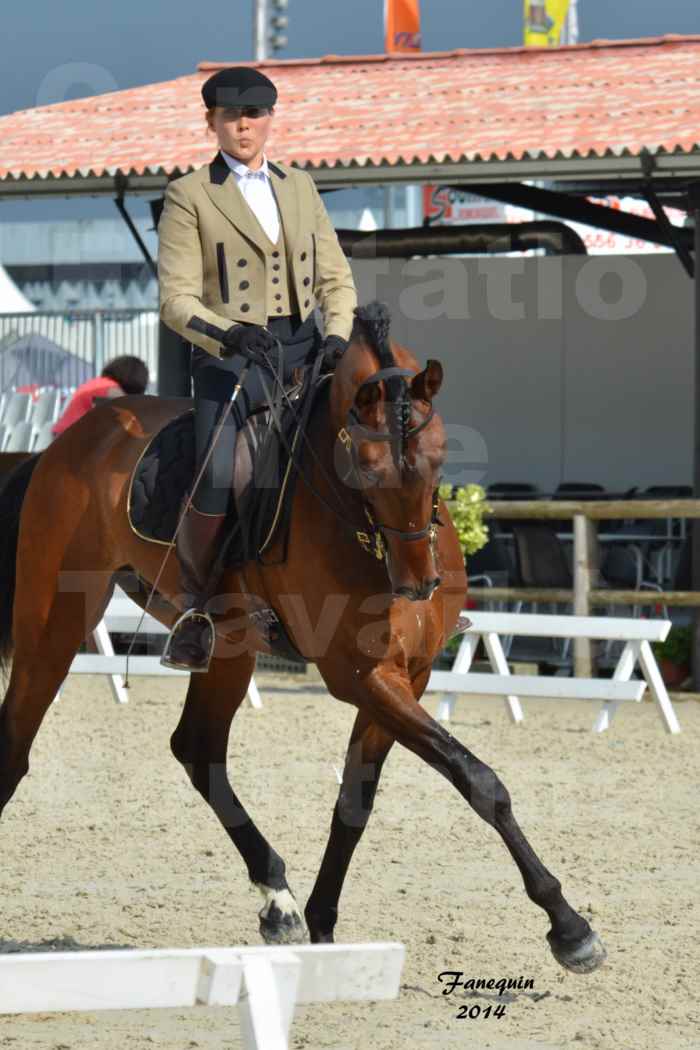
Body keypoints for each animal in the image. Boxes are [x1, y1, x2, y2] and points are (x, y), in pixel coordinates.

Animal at [0, 304, 604, 974]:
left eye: (441, 460)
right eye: (366, 469)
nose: (418, 584)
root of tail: (61, 446)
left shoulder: (407, 675)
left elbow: (356, 800)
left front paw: (321, 925)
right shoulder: (361, 676)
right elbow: (478, 779)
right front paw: (569, 927)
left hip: (229, 646)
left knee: (198, 748)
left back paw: (277, 900)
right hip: (54, 623)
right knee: (15, 746)